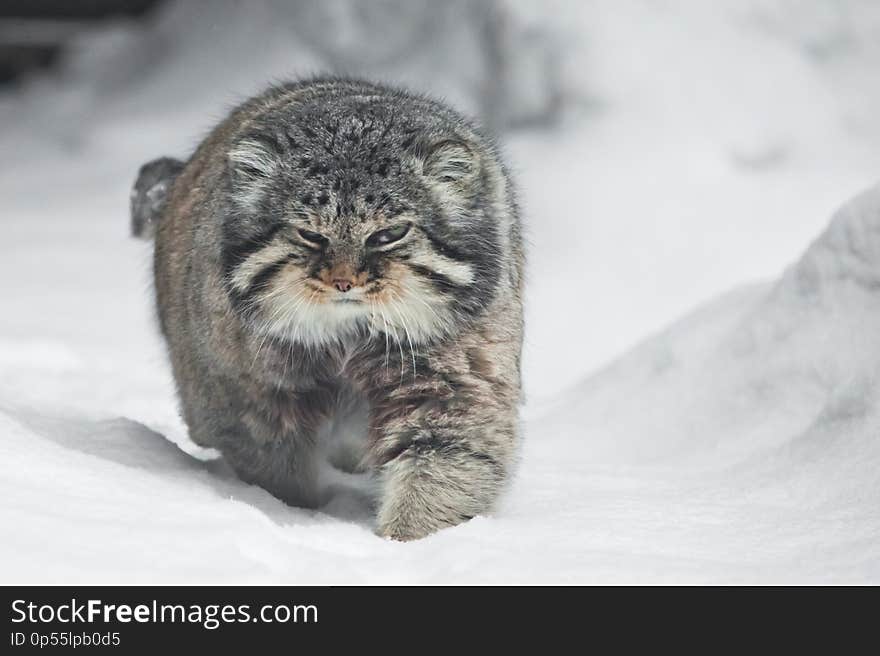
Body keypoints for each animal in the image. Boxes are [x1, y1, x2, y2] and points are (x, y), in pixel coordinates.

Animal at [132, 77, 524, 540]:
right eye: (311, 235)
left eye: (389, 234)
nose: (344, 282)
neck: (348, 338)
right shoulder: (252, 393)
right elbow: (274, 469)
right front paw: (292, 515)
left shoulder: (453, 380)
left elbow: (445, 460)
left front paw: (406, 541)